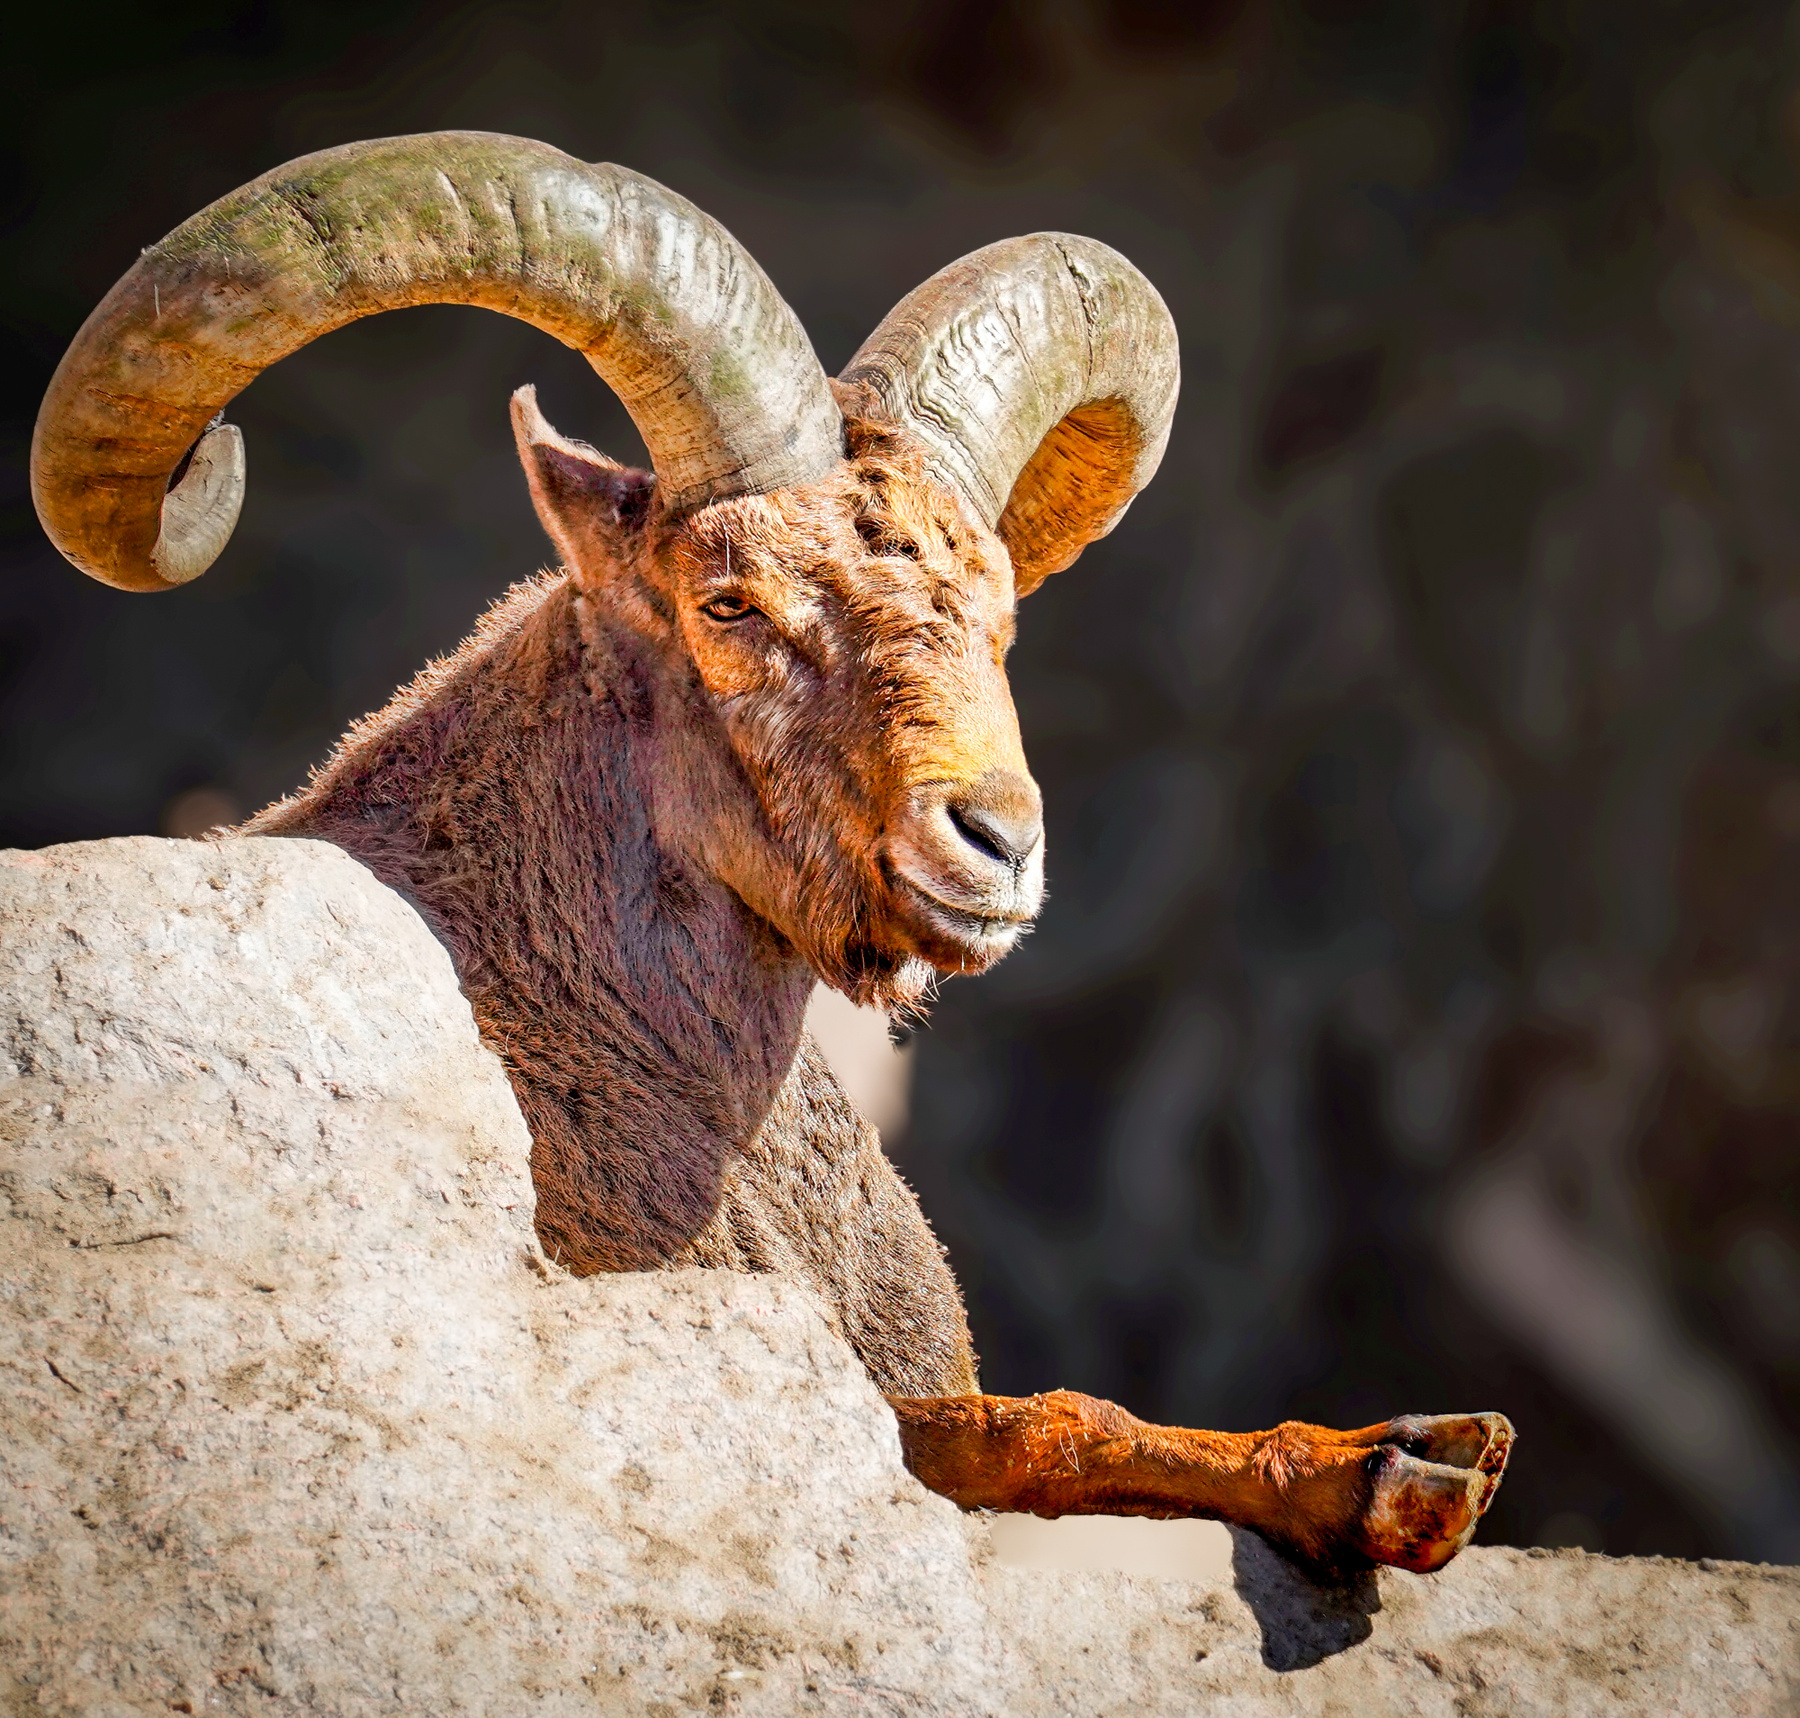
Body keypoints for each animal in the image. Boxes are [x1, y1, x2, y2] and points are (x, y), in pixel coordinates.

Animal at [32, 132, 1511, 1574]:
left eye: (996, 615)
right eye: (729, 601)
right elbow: (1034, 1423)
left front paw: (1434, 1440)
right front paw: (1388, 1471)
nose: (993, 840)